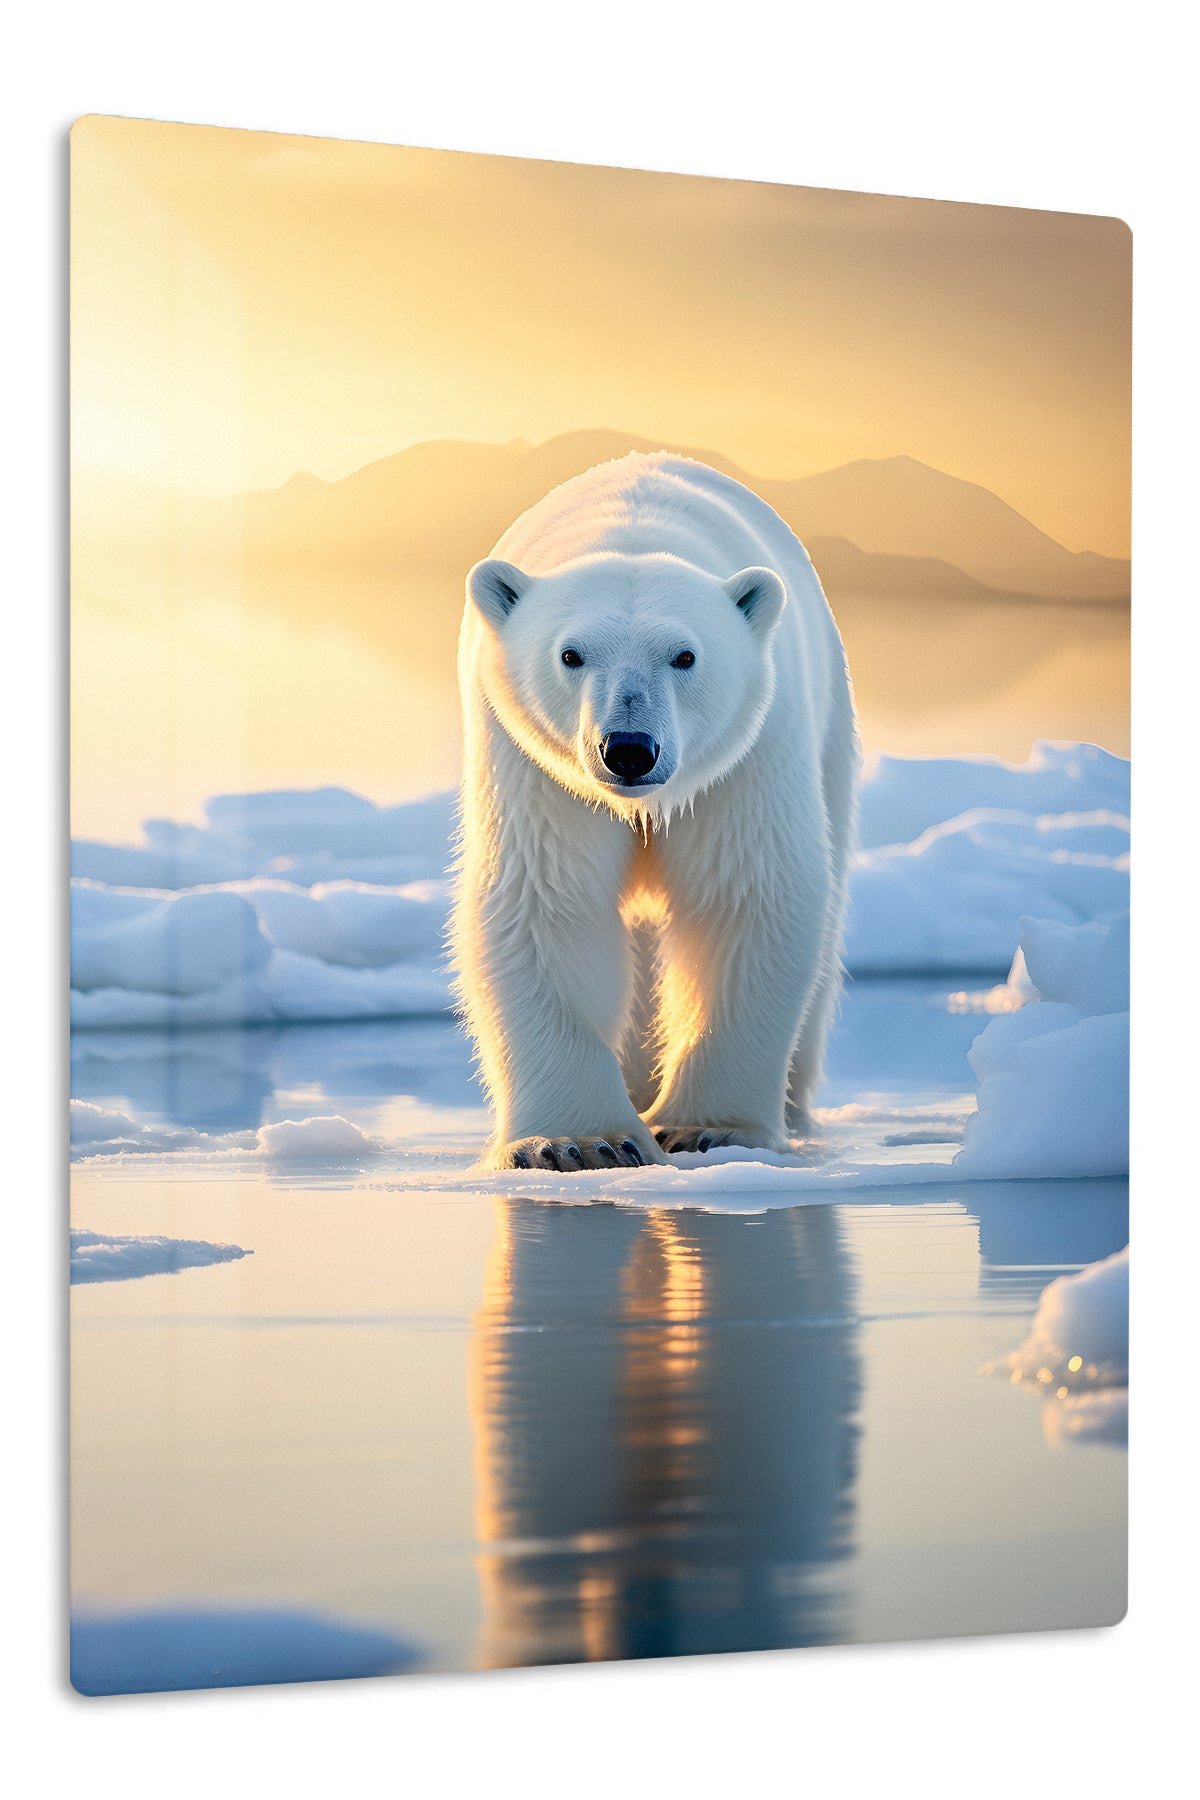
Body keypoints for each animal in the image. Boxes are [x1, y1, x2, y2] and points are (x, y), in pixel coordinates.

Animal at [452, 451, 859, 1171]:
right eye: (570, 653)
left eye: (685, 655)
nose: (629, 749)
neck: (631, 528)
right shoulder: (533, 768)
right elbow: (545, 901)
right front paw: (580, 1141)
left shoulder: (744, 759)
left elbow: (743, 897)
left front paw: (706, 1128)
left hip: (830, 733)